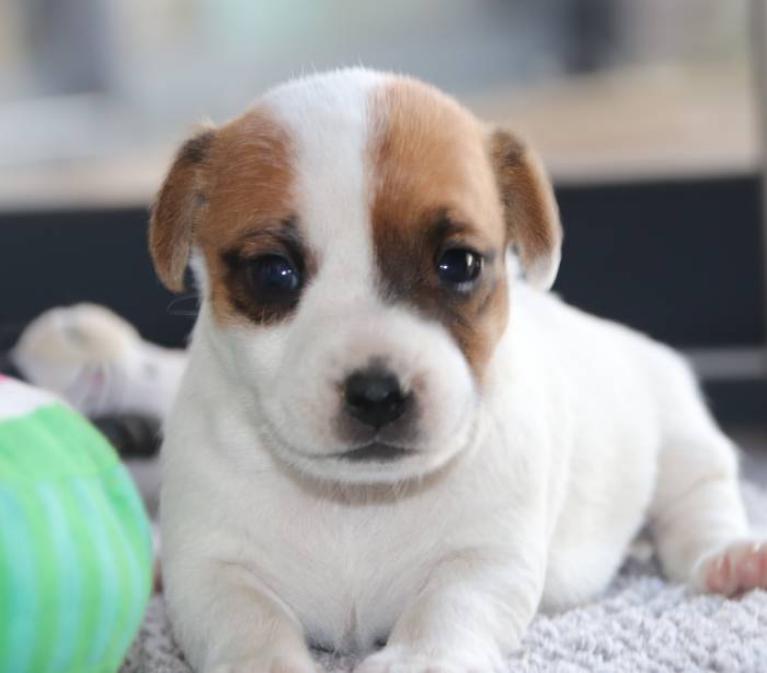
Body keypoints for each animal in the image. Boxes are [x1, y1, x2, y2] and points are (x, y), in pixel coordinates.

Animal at [151, 68, 767, 673]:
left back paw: (729, 560)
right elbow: (250, 627)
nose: (377, 393)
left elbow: (447, 609)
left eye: (459, 263)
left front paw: (421, 659)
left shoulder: (487, 558)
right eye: (273, 273)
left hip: (683, 445)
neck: (358, 502)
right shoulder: (210, 570)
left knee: (699, 509)